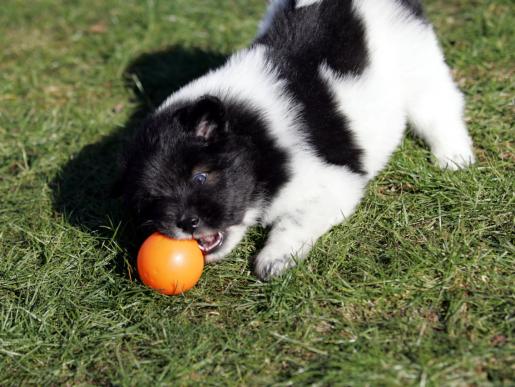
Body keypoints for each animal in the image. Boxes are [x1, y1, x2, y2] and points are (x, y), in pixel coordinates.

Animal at [120, 0, 476, 280]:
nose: (185, 222)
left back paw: (454, 157)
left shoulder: (334, 182)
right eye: (153, 198)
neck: (261, 142)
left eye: (200, 177)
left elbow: (295, 219)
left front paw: (274, 258)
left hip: (416, 60)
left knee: (438, 106)